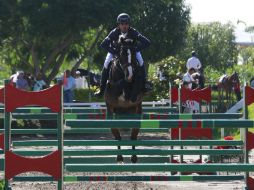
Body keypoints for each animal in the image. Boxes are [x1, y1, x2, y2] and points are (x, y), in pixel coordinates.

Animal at [103, 34, 143, 163]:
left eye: (134, 54)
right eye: (122, 54)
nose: (130, 75)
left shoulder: (135, 103)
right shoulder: (111, 106)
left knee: (133, 135)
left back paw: (133, 157)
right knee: (119, 136)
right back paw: (120, 157)